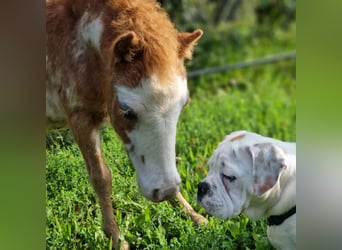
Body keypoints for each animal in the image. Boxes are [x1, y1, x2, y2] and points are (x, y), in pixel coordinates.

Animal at [46, 0, 204, 248]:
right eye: (127, 112)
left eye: (183, 105)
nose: (164, 190)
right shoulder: (80, 118)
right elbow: (101, 177)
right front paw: (116, 238)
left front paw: (194, 215)